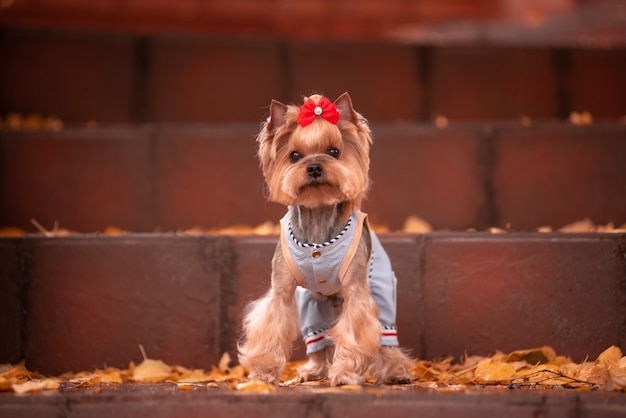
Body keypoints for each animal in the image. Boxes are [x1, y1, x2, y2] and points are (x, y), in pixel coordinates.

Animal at [236, 93, 412, 386]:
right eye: (294, 155)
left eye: (334, 152)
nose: (315, 167)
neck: (318, 213)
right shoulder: (283, 289)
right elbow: (271, 325)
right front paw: (263, 373)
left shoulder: (356, 291)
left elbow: (354, 332)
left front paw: (344, 374)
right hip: (310, 303)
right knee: (317, 338)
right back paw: (314, 370)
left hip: (382, 288)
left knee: (387, 337)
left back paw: (396, 371)